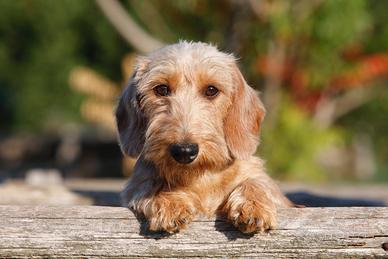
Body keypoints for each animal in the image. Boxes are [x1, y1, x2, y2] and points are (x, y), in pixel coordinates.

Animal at [115, 41, 292, 236]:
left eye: (211, 90)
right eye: (161, 89)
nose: (184, 151)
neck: (200, 175)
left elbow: (257, 181)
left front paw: (253, 205)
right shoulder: (136, 186)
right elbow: (152, 183)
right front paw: (170, 201)